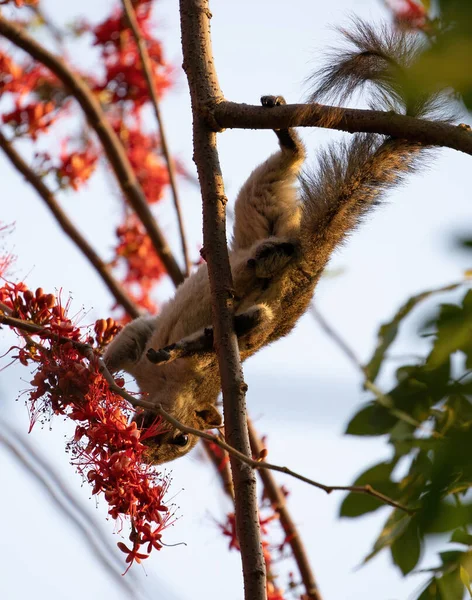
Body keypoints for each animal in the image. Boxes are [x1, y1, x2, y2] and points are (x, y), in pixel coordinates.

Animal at [103, 21, 454, 464]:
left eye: (182, 442)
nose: (147, 453)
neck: (169, 385)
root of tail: (311, 259)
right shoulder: (139, 346)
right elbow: (124, 344)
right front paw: (96, 367)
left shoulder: (190, 356)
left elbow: (192, 340)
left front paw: (169, 351)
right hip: (260, 205)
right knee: (282, 174)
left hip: (265, 235)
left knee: (259, 308)